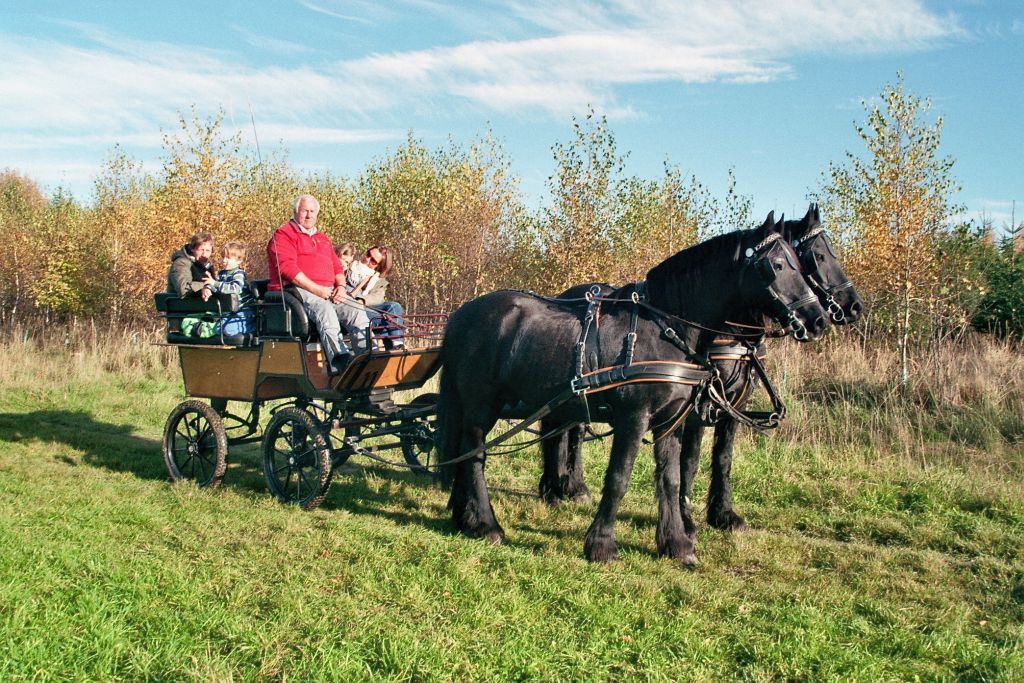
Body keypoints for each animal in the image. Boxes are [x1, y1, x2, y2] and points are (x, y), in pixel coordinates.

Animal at [436, 215, 827, 565]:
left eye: (800, 263)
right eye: (777, 265)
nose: (818, 319)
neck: (666, 326)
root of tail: (460, 315)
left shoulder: (670, 422)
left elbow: (670, 479)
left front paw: (677, 545)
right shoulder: (633, 418)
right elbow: (619, 478)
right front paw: (602, 546)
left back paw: (465, 518)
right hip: (481, 406)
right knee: (473, 455)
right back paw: (487, 525)